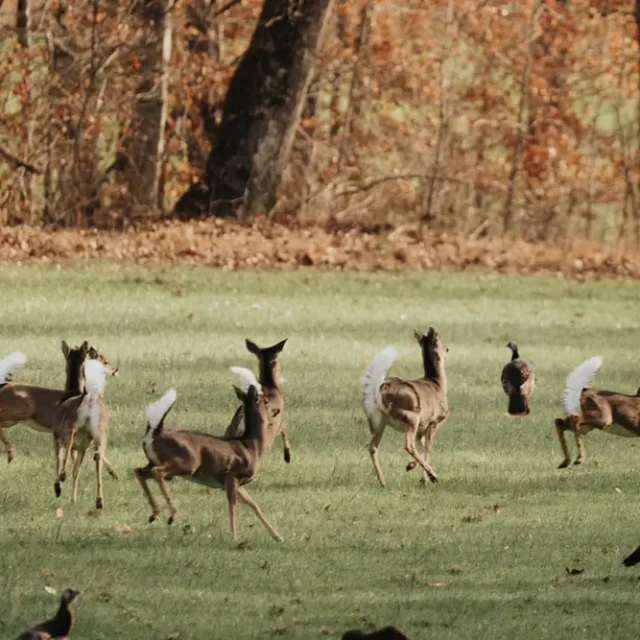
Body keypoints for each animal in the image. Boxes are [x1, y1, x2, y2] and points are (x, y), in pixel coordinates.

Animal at [52, 341, 117, 510]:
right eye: (105, 361)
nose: (115, 369)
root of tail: (89, 400)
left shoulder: (55, 437)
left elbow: (58, 460)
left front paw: (58, 488)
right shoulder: (82, 448)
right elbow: (77, 471)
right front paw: (73, 499)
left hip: (70, 427)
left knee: (70, 441)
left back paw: (62, 477)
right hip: (100, 433)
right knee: (98, 457)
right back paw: (99, 501)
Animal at [134, 368, 284, 542]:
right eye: (266, 401)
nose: (276, 410)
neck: (252, 445)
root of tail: (154, 432)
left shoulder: (236, 483)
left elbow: (254, 505)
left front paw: (278, 537)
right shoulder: (232, 476)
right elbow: (232, 505)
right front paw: (234, 537)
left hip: (153, 461)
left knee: (139, 471)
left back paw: (154, 514)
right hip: (187, 462)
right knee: (157, 472)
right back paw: (172, 515)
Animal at [361, 327, 449, 487]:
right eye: (443, 345)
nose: (447, 349)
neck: (438, 384)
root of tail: (378, 390)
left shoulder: (421, 428)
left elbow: (422, 448)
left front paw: (419, 476)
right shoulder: (434, 421)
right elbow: (428, 448)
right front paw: (425, 477)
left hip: (379, 421)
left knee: (372, 447)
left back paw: (383, 482)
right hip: (411, 417)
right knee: (408, 445)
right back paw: (434, 475)